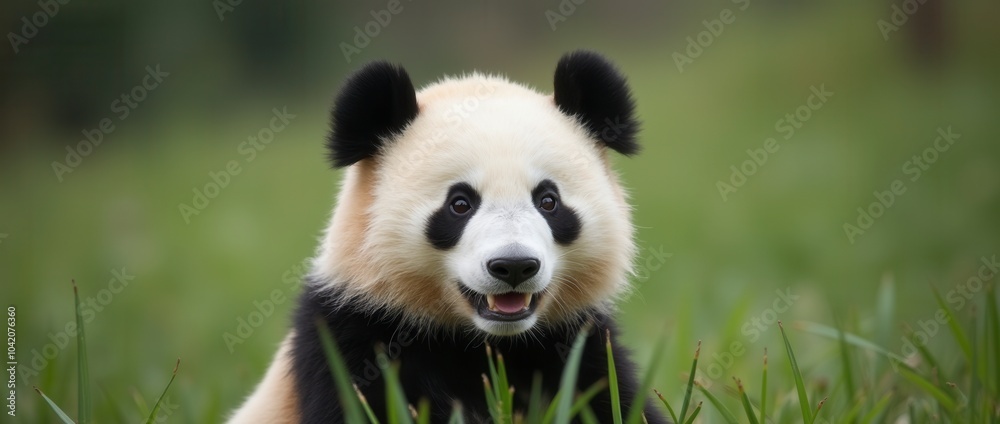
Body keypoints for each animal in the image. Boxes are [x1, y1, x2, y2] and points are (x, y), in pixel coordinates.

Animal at [228, 51, 666, 424]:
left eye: (548, 200)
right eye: (459, 204)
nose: (513, 266)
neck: (483, 342)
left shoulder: (577, 345)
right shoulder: (353, 339)